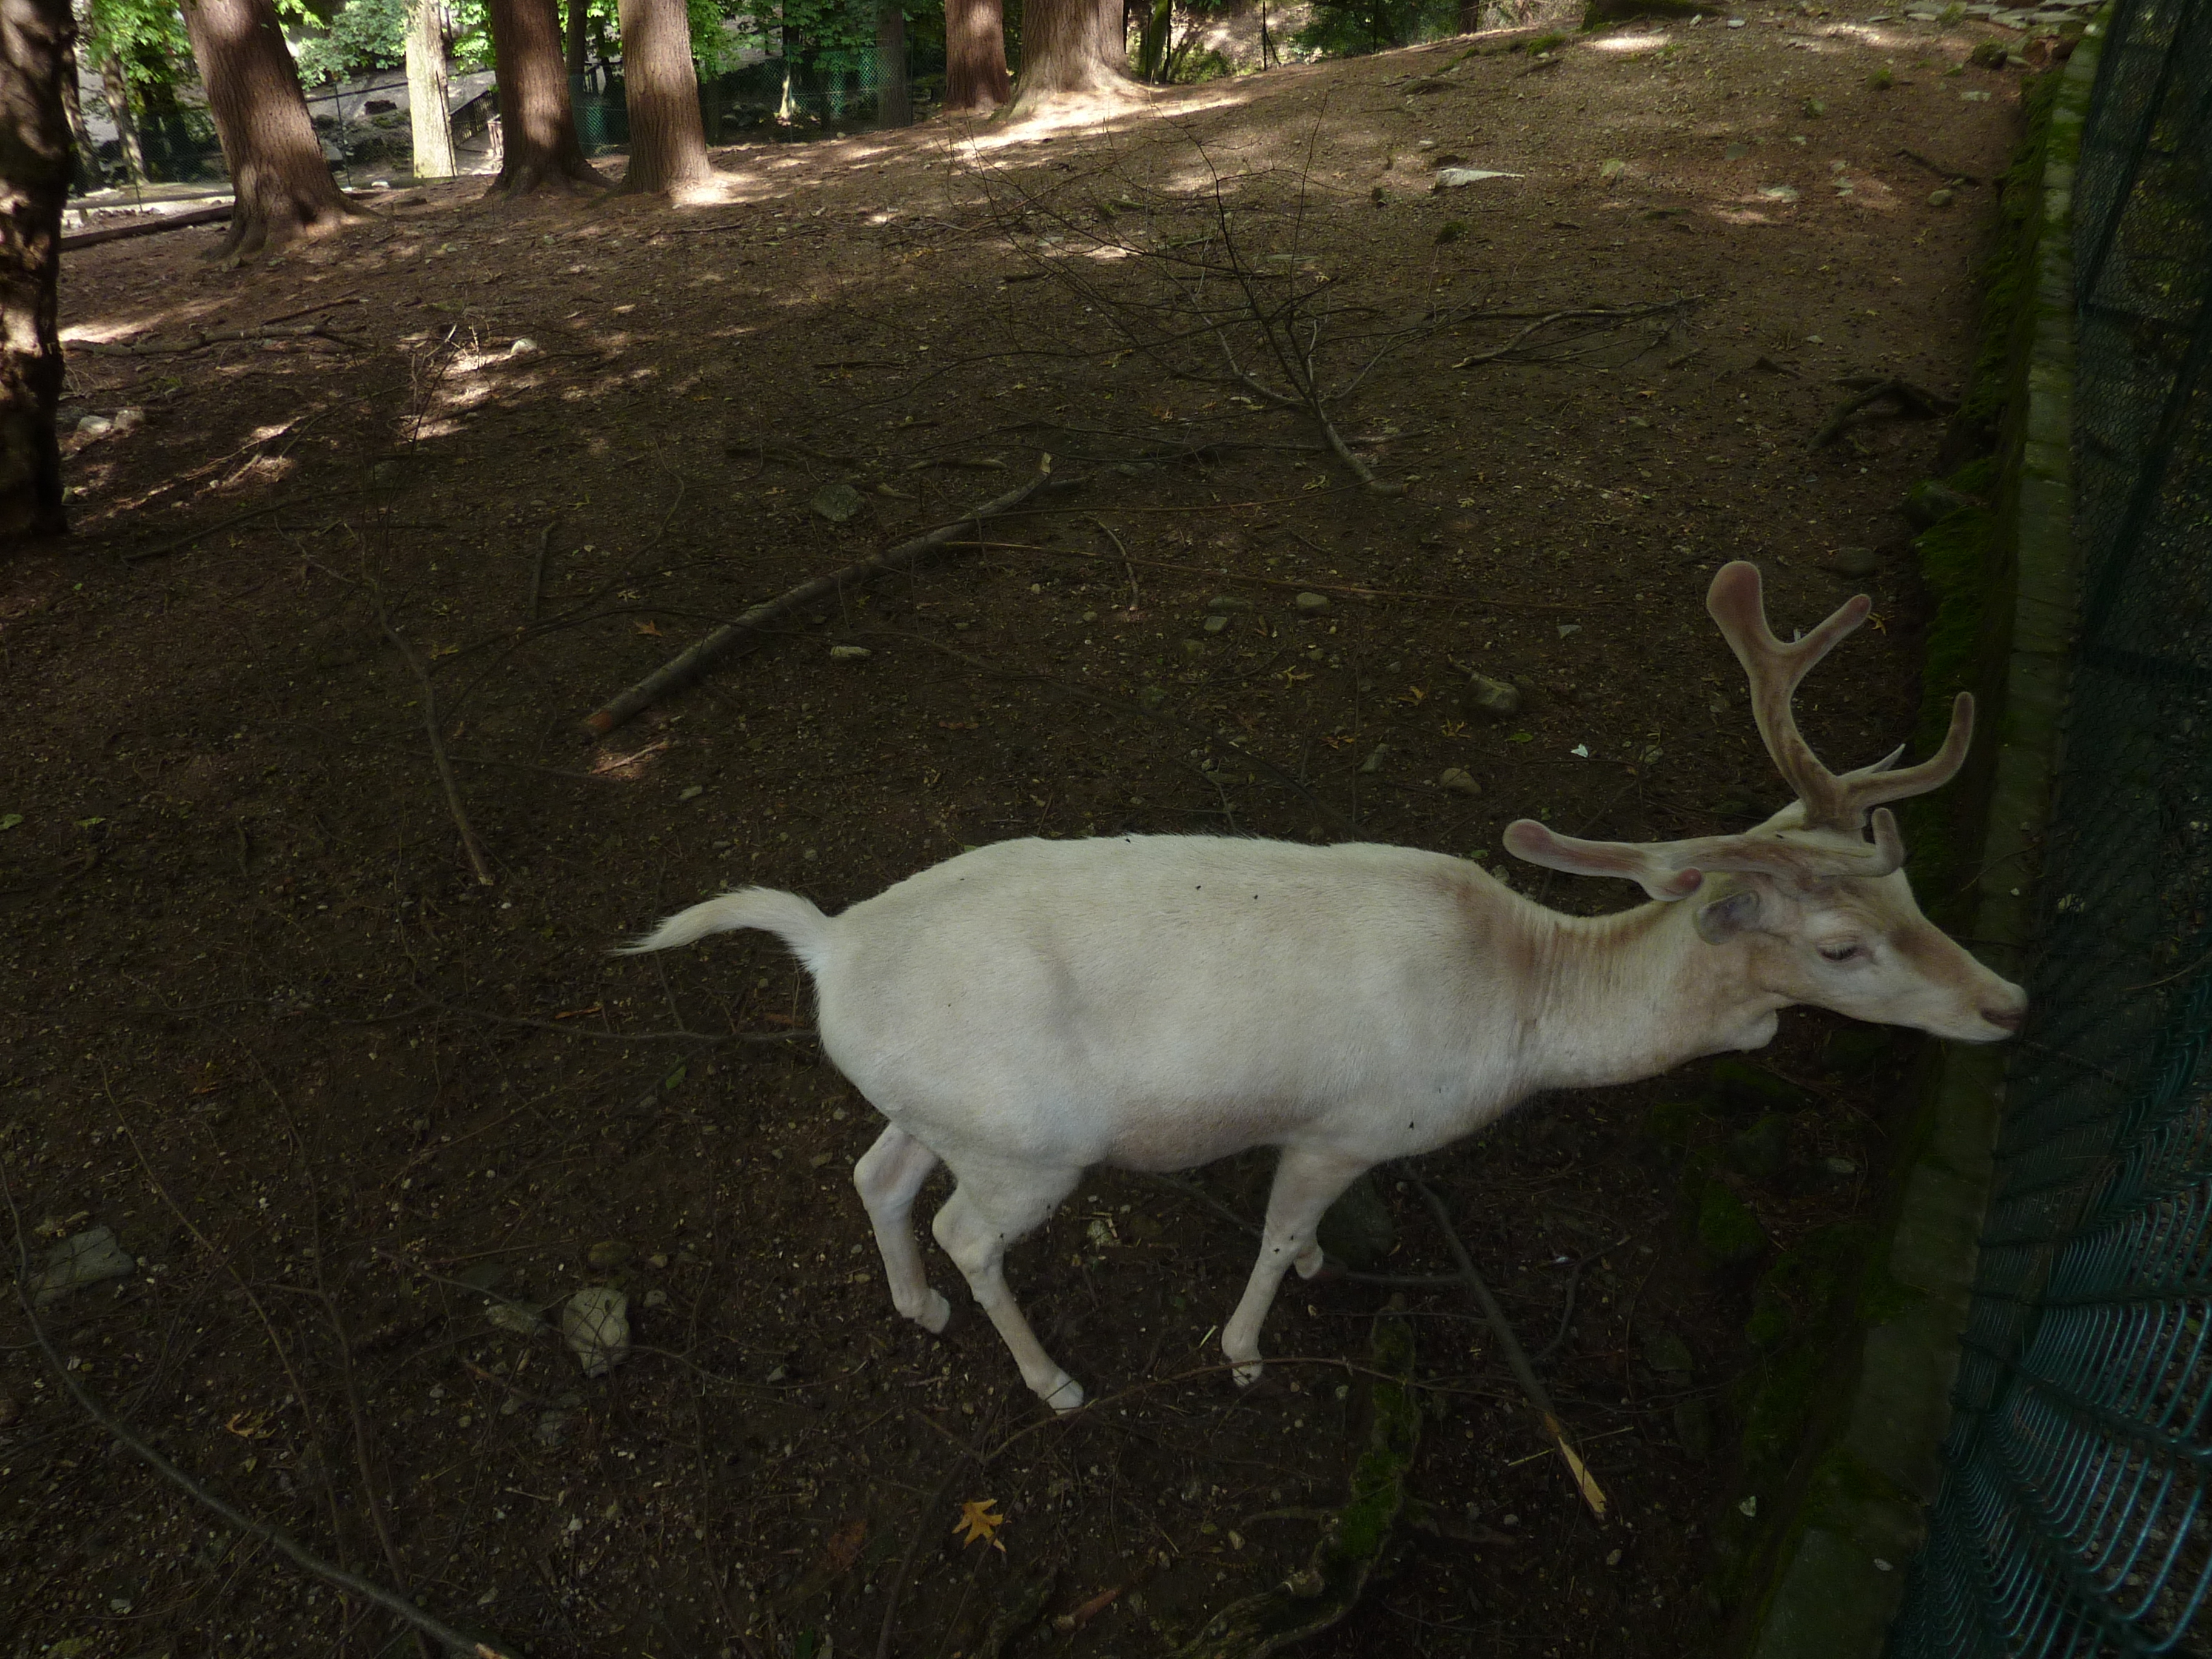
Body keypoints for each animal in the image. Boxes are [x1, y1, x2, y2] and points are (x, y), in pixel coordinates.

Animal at [619, 566, 2026, 1407]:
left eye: (1911, 891)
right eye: (1838, 947)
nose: (2006, 1004)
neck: (1522, 1017)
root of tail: (831, 947)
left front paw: (1290, 1293)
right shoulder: (1342, 1126)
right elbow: (1278, 1231)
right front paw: (1247, 1349)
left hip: (938, 1104)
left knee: (877, 1172)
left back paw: (914, 1311)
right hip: (1029, 1145)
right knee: (969, 1230)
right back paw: (1052, 1379)